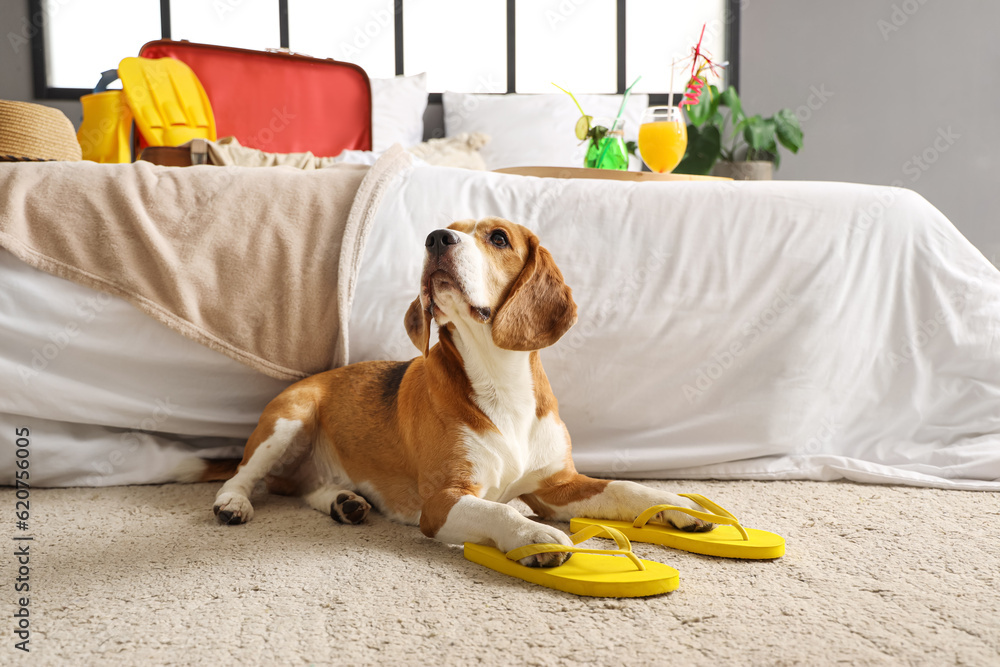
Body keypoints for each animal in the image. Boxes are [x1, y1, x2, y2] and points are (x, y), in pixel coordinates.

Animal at [211, 217, 712, 568]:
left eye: (499, 238)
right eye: (445, 228)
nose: (435, 238)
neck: (500, 380)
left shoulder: (557, 487)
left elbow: (628, 488)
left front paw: (677, 505)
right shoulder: (443, 501)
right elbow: (501, 513)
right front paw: (533, 536)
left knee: (304, 490)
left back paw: (343, 502)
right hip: (289, 419)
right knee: (243, 474)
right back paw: (233, 503)